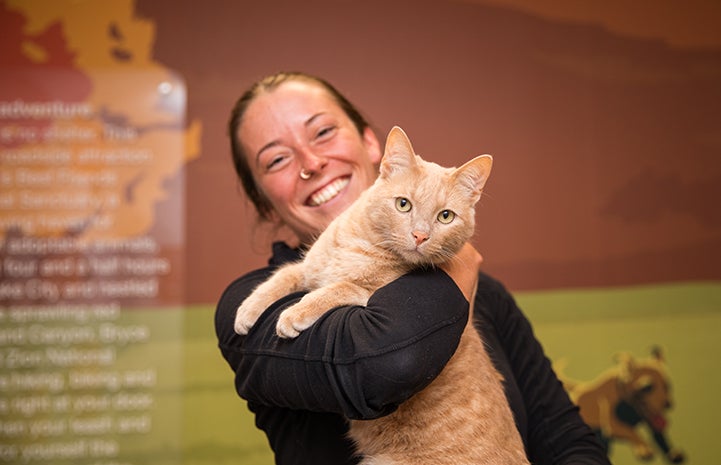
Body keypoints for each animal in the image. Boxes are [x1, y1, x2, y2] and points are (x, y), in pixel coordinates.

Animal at [236, 127, 528, 464]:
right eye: (403, 204)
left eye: (445, 216)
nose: (420, 235)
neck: (362, 243)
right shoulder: (308, 268)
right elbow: (281, 276)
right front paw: (246, 311)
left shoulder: (366, 295)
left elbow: (336, 287)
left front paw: (295, 313)